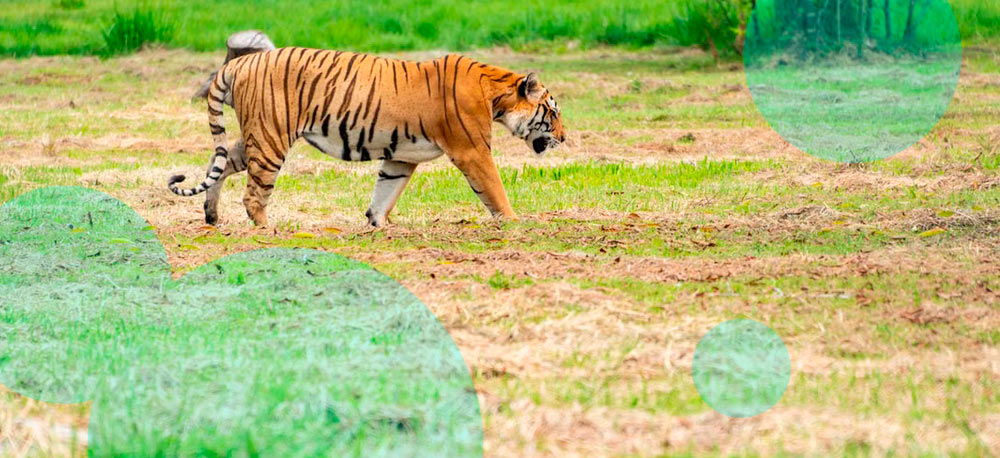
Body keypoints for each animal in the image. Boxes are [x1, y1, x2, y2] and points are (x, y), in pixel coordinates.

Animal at [168, 47, 566, 228]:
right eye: (554, 112)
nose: (564, 138)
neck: (496, 94)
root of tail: (238, 62)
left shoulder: (402, 156)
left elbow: (384, 193)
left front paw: (378, 225)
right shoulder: (473, 151)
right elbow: (495, 190)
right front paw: (515, 223)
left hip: (257, 135)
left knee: (219, 164)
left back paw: (212, 217)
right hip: (271, 138)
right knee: (254, 194)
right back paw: (268, 230)